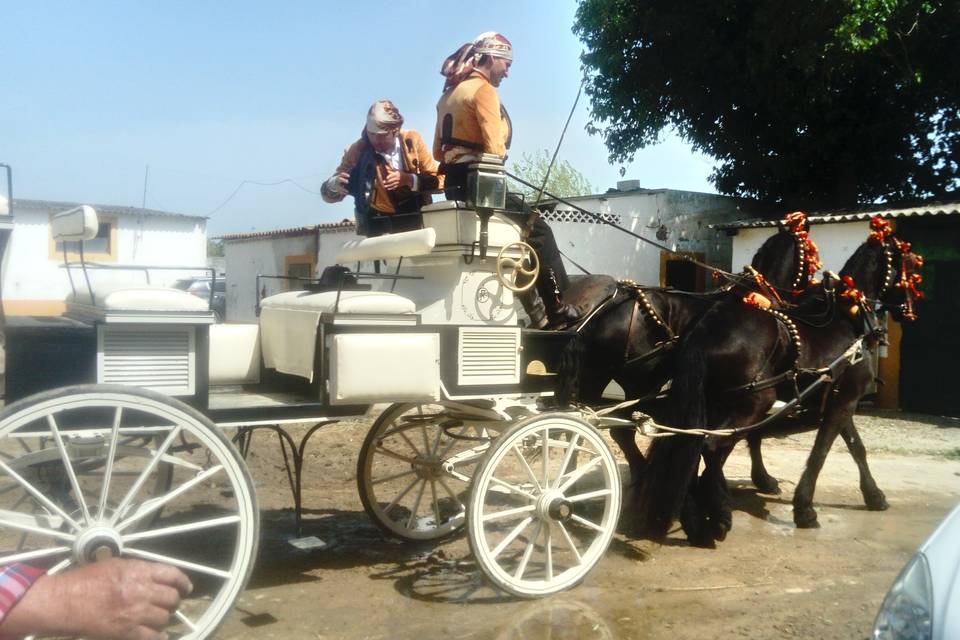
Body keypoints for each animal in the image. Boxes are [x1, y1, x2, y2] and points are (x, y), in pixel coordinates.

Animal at [636, 219, 924, 544]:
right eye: (912, 265)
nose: (911, 310)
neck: (847, 319)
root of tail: (706, 329)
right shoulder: (843, 402)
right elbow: (820, 453)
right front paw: (804, 509)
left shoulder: (838, 400)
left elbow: (856, 448)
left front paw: (874, 496)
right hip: (757, 400)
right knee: (711, 446)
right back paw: (718, 513)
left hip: (710, 401)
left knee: (691, 445)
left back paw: (695, 517)